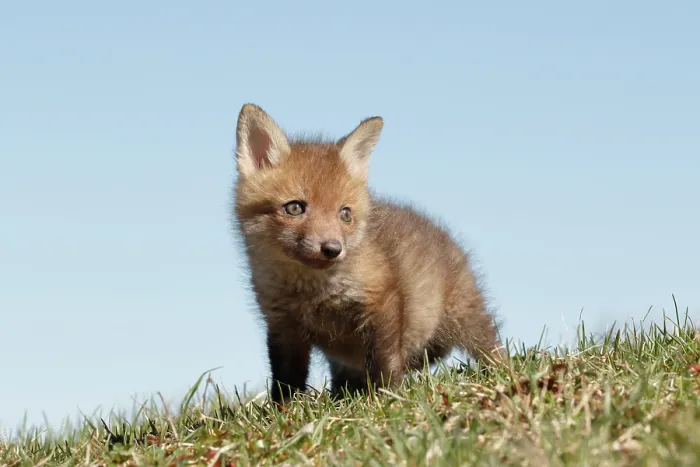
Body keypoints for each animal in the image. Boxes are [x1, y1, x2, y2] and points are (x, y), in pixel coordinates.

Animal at [231, 103, 505, 405]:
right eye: (294, 208)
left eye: (345, 214)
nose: (332, 249)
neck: (313, 293)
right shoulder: (282, 325)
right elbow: (286, 381)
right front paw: (285, 411)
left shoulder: (381, 301)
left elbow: (384, 361)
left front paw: (387, 397)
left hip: (465, 319)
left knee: (490, 345)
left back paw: (502, 371)